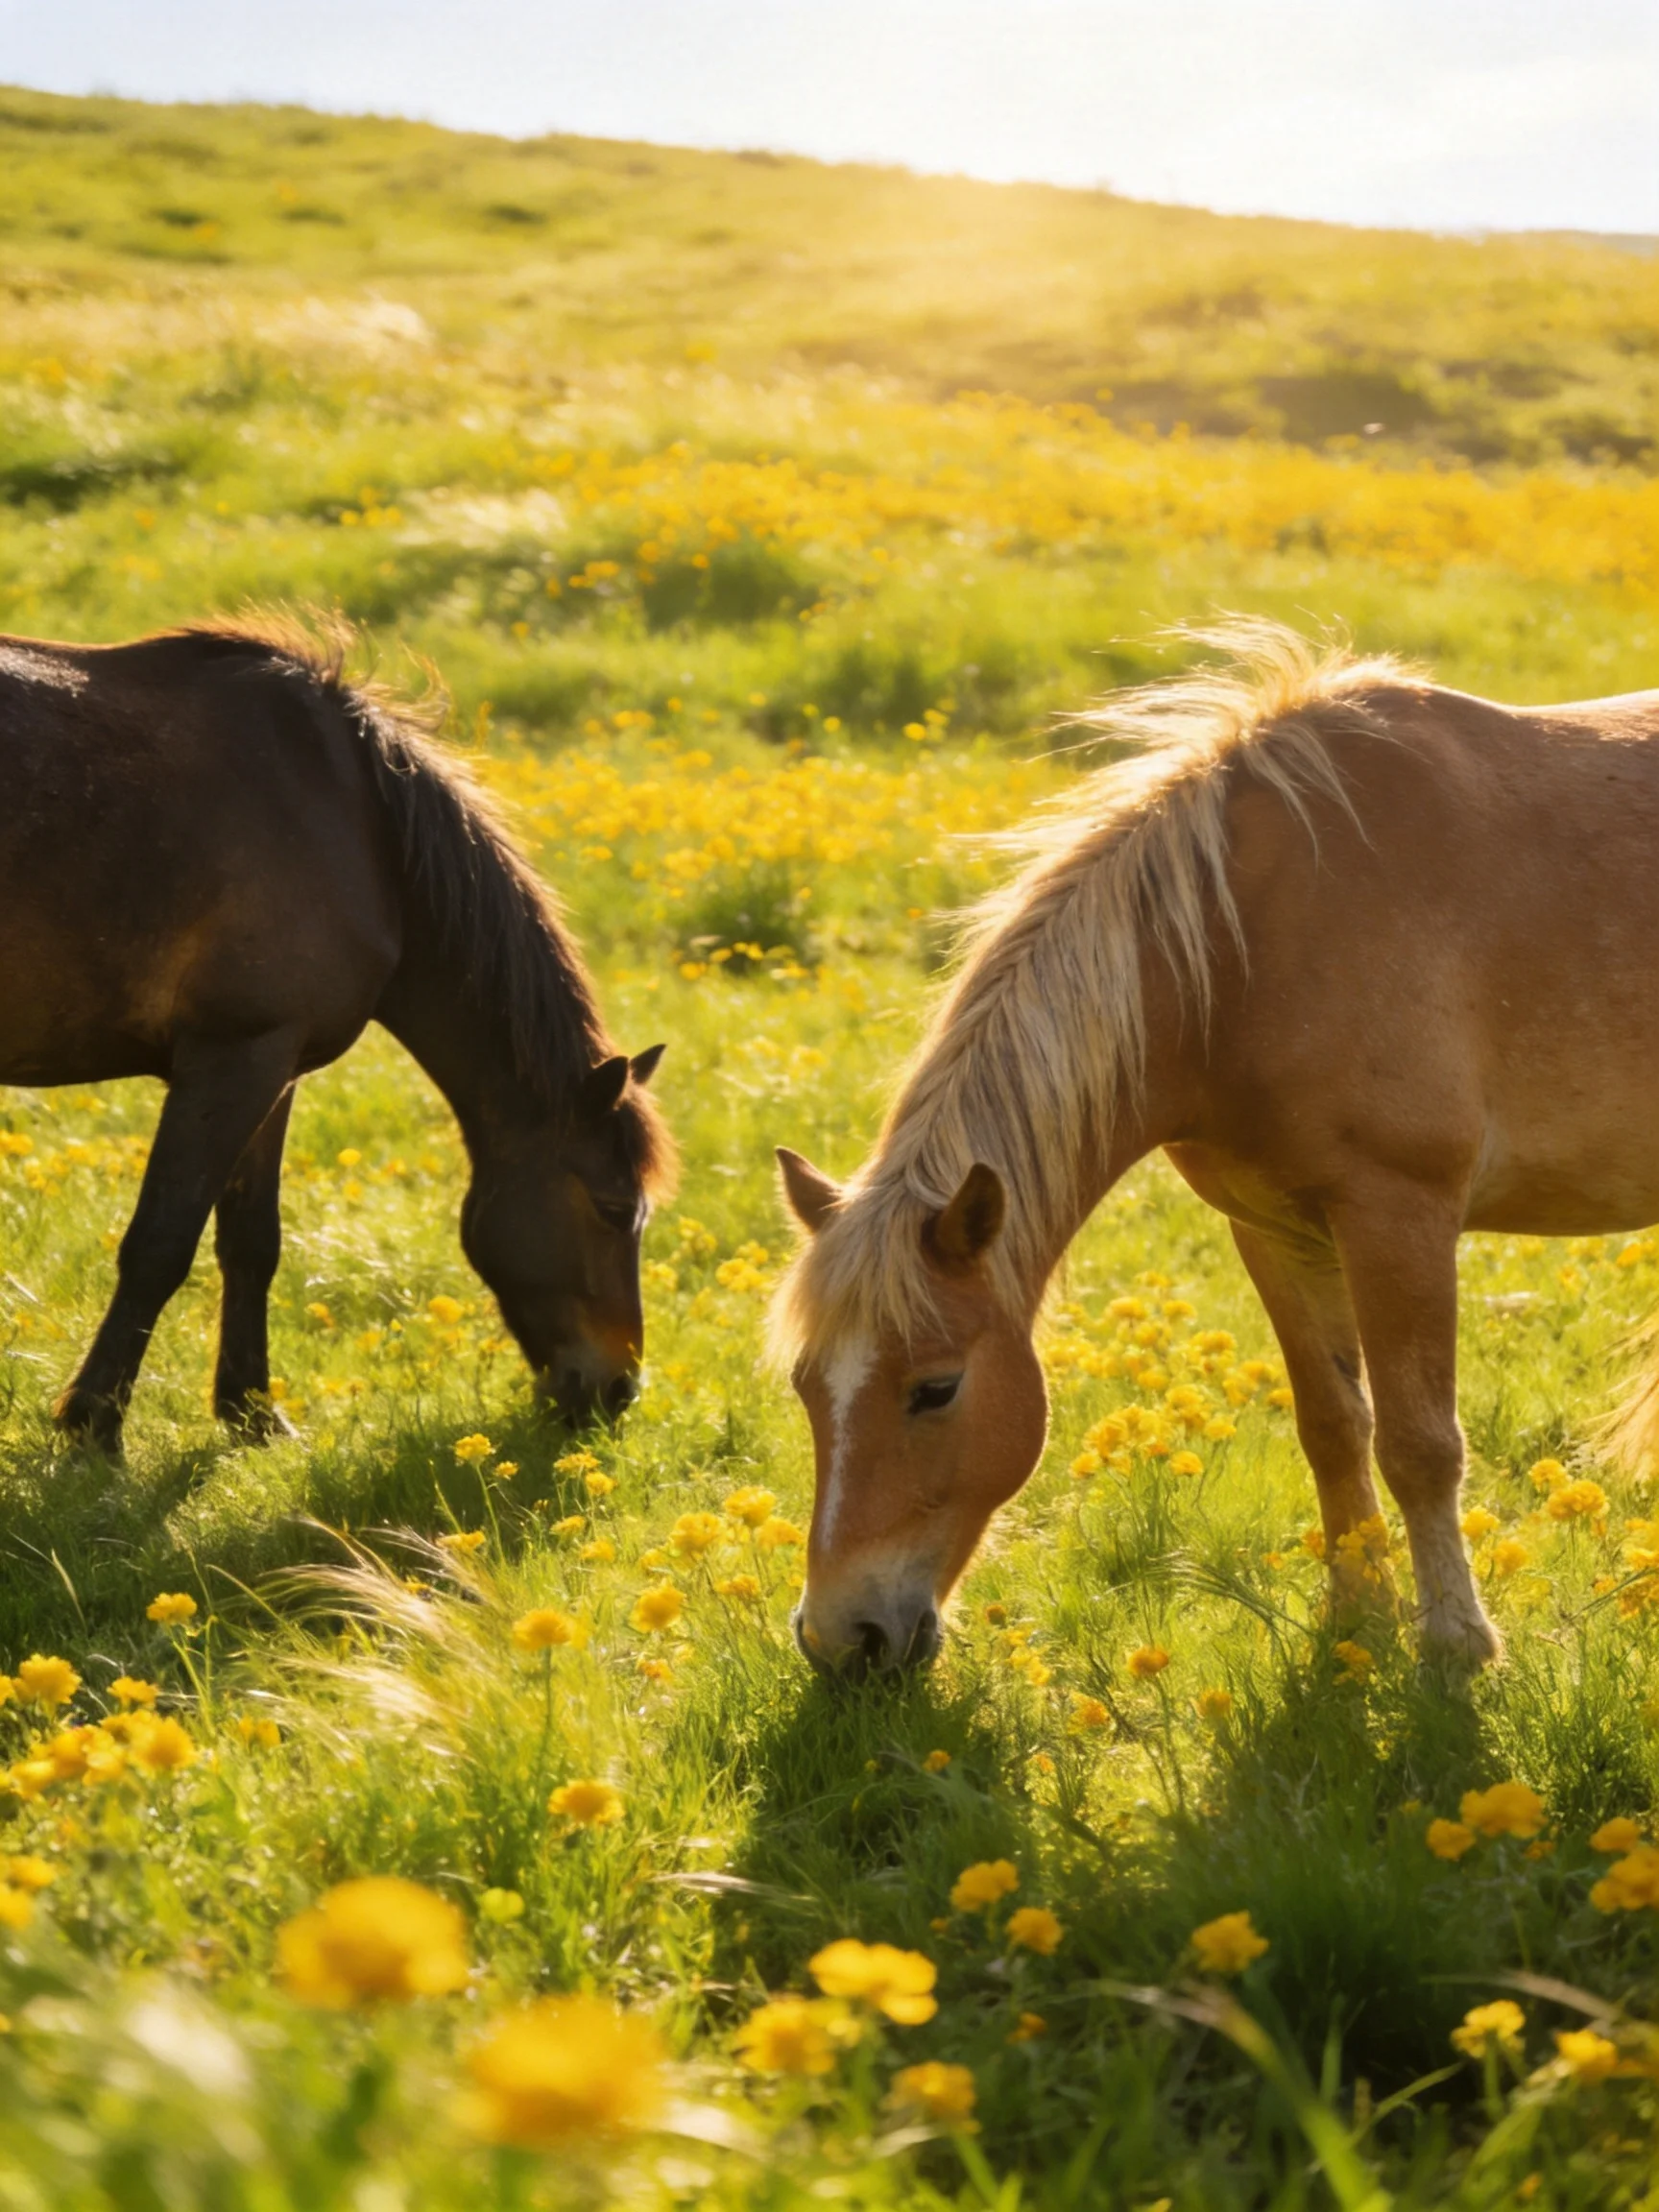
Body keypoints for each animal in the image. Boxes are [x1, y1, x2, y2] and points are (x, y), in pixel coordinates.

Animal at [0, 616, 673, 1455]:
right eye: (614, 1209)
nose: (618, 1391)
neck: (359, 823)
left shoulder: (273, 1066)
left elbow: (252, 1243)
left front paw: (254, 1414)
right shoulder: (234, 1059)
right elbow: (160, 1244)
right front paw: (94, 1426)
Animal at [770, 621, 1659, 1679]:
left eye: (934, 1389)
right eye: (805, 1387)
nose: (841, 1640)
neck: (1255, 942)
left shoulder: (1399, 1216)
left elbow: (1420, 1444)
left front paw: (1455, 1646)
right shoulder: (1273, 1229)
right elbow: (1334, 1426)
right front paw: (1355, 1617)